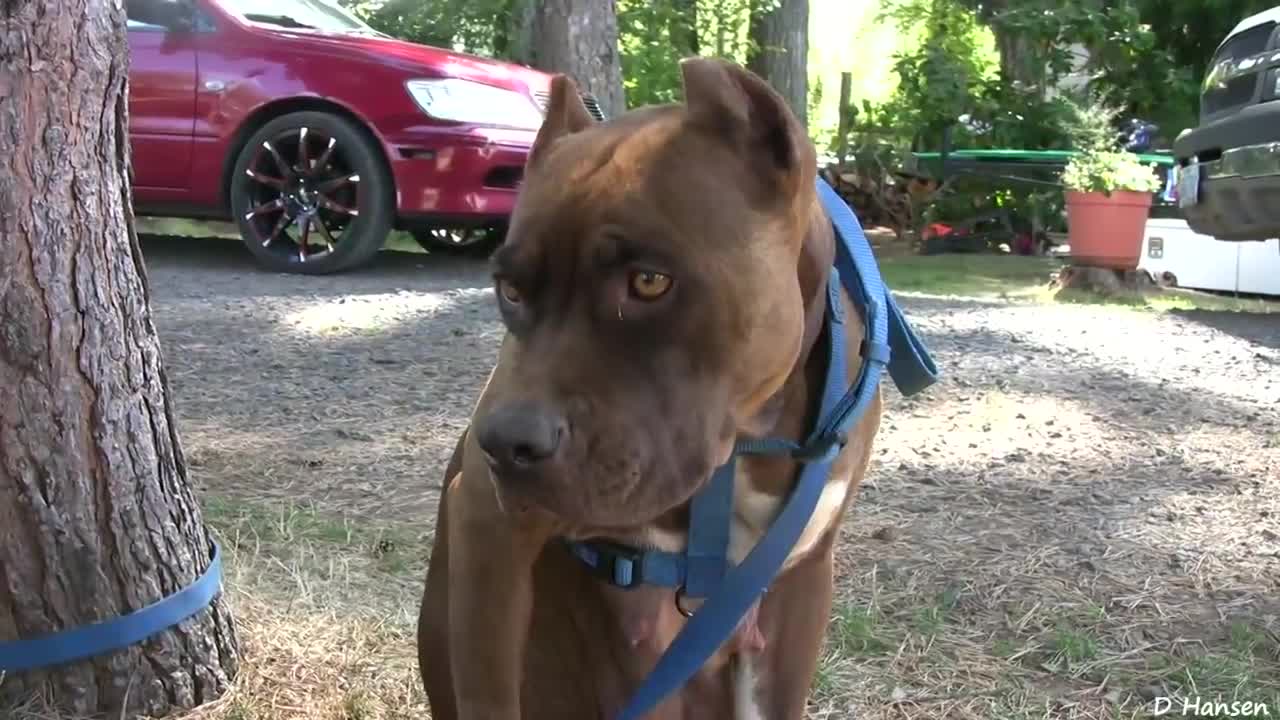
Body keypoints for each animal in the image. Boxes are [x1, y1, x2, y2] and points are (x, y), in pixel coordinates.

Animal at [414, 57, 936, 717]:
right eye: (509, 290)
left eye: (649, 281)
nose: (506, 443)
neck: (746, 435)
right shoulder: (486, 523)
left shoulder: (801, 583)